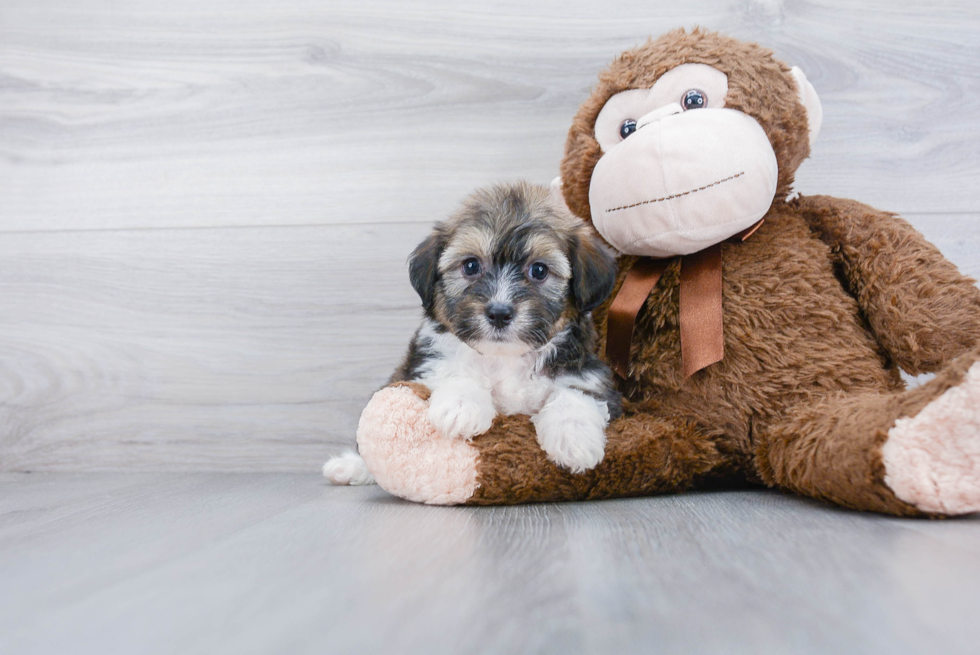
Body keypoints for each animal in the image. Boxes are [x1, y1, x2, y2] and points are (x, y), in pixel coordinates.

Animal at [328, 182, 620, 484]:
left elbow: (575, 394)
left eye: (539, 270)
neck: (504, 357)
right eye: (471, 266)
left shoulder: (589, 372)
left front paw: (573, 437)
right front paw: (460, 406)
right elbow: (455, 370)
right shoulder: (425, 363)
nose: (499, 312)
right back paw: (350, 467)